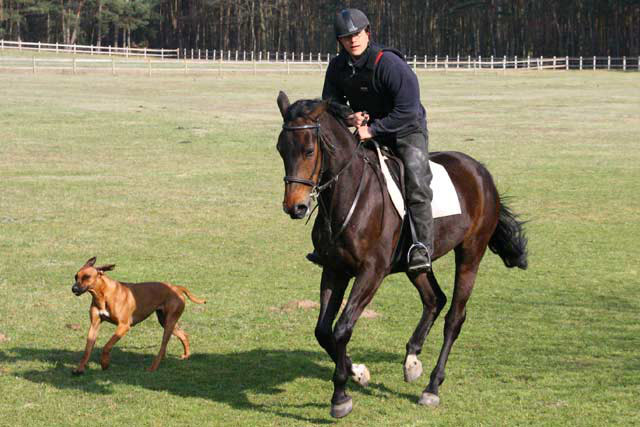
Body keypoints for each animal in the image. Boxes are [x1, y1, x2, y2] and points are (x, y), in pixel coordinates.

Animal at [275, 91, 528, 418]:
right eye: (280, 149)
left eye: (308, 151)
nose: (296, 207)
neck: (348, 195)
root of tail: (481, 172)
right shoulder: (334, 269)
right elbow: (323, 331)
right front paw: (358, 372)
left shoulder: (371, 272)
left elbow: (342, 328)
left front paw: (341, 396)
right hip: (415, 263)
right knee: (434, 299)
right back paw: (412, 361)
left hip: (471, 253)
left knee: (454, 317)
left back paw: (432, 387)